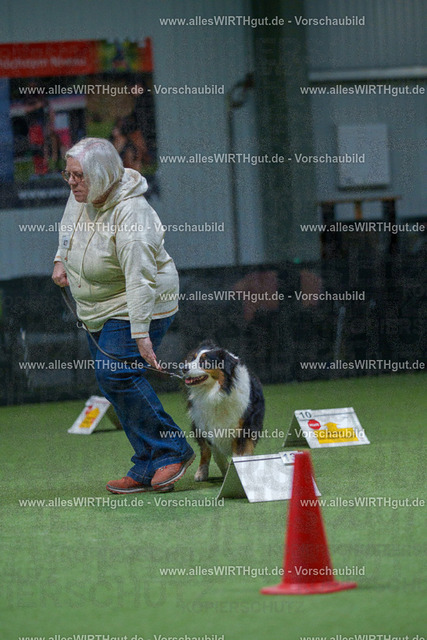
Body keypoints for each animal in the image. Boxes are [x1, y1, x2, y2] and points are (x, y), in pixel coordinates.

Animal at [182, 341, 265, 481]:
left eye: (205, 362)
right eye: (192, 358)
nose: (183, 368)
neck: (218, 392)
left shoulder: (243, 426)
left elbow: (239, 453)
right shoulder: (206, 426)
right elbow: (216, 454)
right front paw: (226, 470)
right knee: (205, 450)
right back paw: (201, 472)